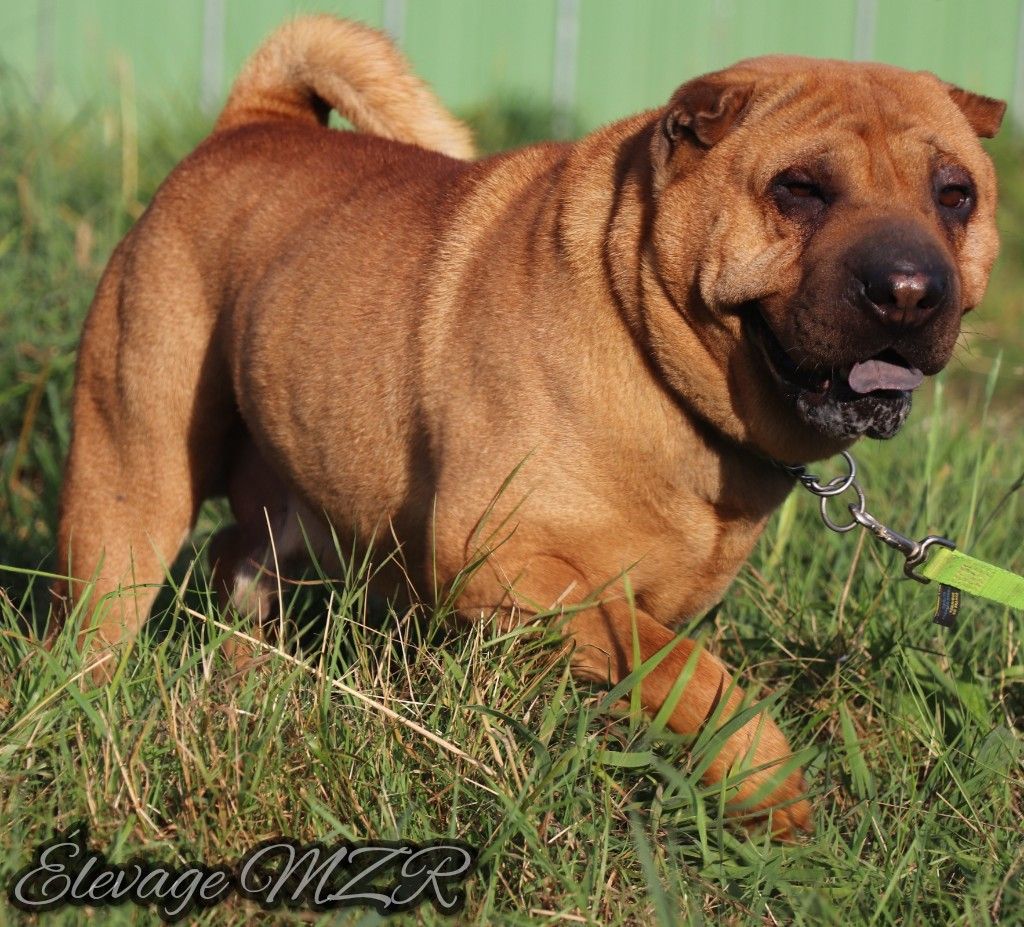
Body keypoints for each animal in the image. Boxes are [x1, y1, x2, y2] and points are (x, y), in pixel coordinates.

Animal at [51, 14, 1003, 839]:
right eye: (798, 190)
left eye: (956, 195)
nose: (909, 289)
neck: (650, 348)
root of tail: (253, 121)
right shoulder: (506, 560)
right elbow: (696, 673)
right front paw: (774, 793)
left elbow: (664, 675)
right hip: (131, 478)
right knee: (109, 606)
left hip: (298, 490)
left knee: (239, 559)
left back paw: (247, 671)